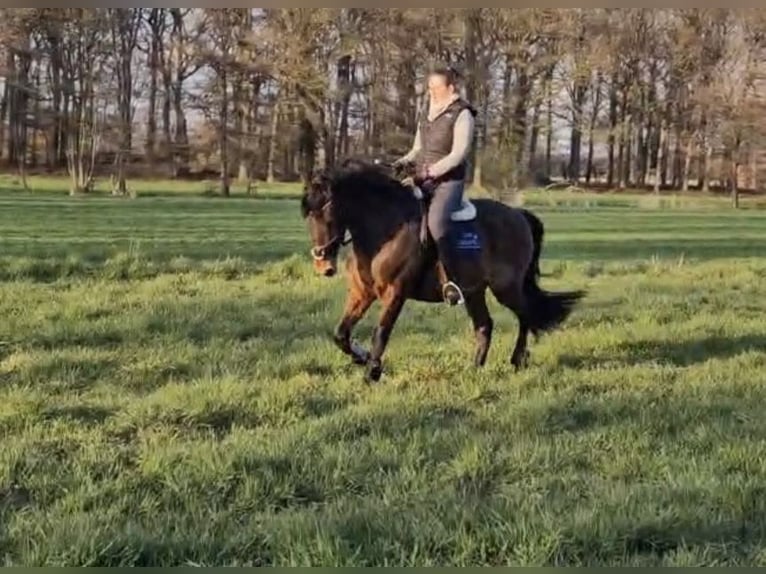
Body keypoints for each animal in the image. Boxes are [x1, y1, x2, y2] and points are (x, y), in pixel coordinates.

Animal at [299, 159, 585, 382]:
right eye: (308, 215)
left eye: (327, 211)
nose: (323, 265)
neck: (386, 229)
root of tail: (518, 215)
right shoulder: (362, 293)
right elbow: (341, 334)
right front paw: (362, 358)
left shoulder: (395, 293)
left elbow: (381, 331)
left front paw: (372, 373)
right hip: (474, 291)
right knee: (485, 325)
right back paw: (474, 369)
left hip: (506, 288)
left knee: (525, 315)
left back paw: (517, 360)